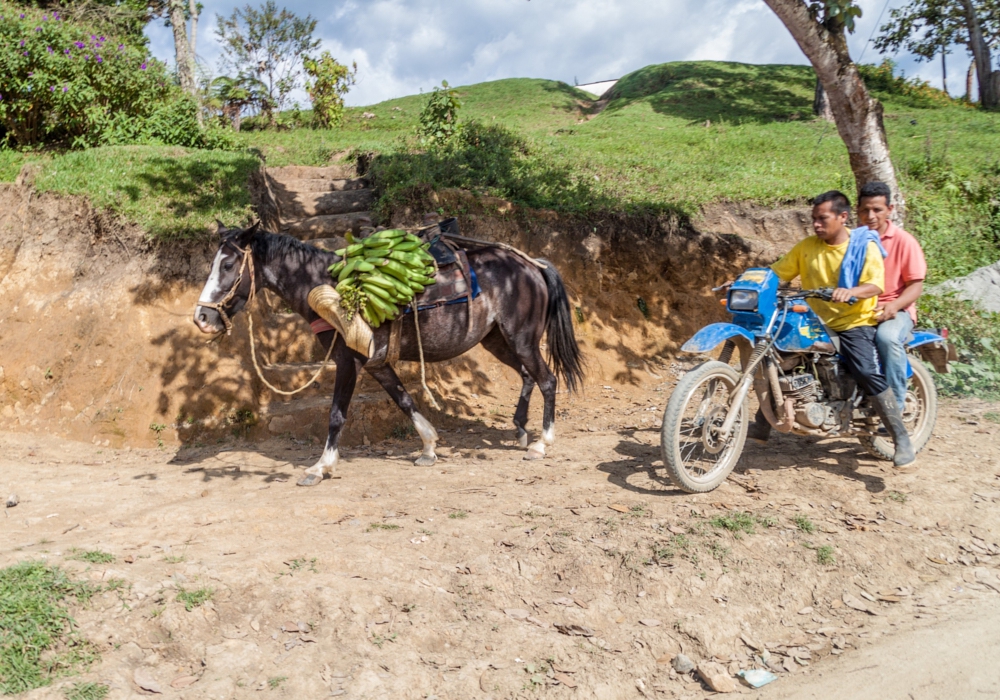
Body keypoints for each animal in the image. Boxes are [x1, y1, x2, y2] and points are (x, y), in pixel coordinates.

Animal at [191, 224, 584, 486]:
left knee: (547, 379)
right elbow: (404, 399)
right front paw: (428, 447)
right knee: (529, 375)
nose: (202, 318)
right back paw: (520, 429)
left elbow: (336, 415)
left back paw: (542, 443)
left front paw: (321, 466)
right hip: (498, 340)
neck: (329, 286)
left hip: (521, 338)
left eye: (228, 266)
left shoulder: (348, 360)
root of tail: (532, 264)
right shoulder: (375, 363)